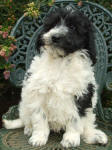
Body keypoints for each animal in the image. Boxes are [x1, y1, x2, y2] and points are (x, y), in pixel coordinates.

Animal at [3, 7, 107, 147]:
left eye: (73, 27)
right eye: (52, 25)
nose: (55, 37)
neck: (61, 61)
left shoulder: (82, 94)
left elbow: (75, 118)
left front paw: (71, 139)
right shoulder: (37, 93)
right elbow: (40, 118)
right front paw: (38, 137)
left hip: (90, 111)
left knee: (87, 124)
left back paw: (94, 136)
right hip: (25, 105)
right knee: (27, 119)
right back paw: (29, 129)